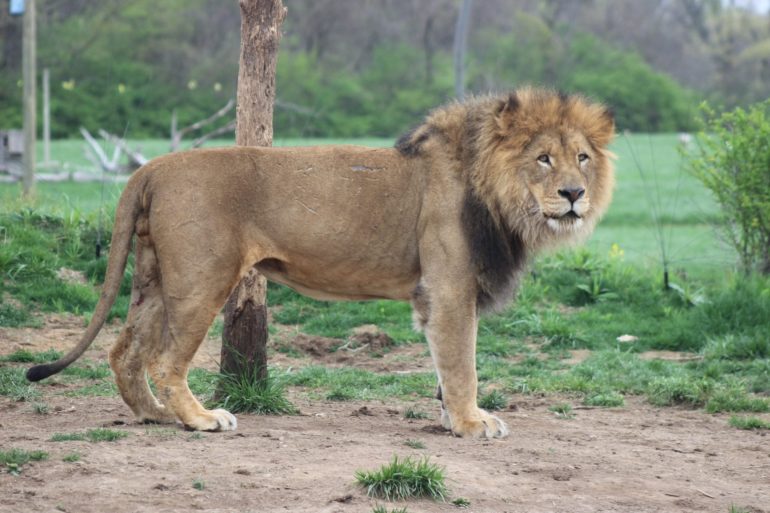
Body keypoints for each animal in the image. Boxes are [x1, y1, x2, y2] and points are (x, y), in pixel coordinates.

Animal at [27, 87, 614, 438]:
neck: (496, 194)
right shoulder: (450, 288)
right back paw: (199, 419)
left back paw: (154, 415)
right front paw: (472, 423)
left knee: (125, 351)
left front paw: (452, 417)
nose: (574, 194)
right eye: (543, 158)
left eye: (582, 157)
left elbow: (445, 368)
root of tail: (150, 168)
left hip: (154, 274)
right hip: (201, 279)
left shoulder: (439, 294)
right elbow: (462, 363)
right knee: (165, 359)